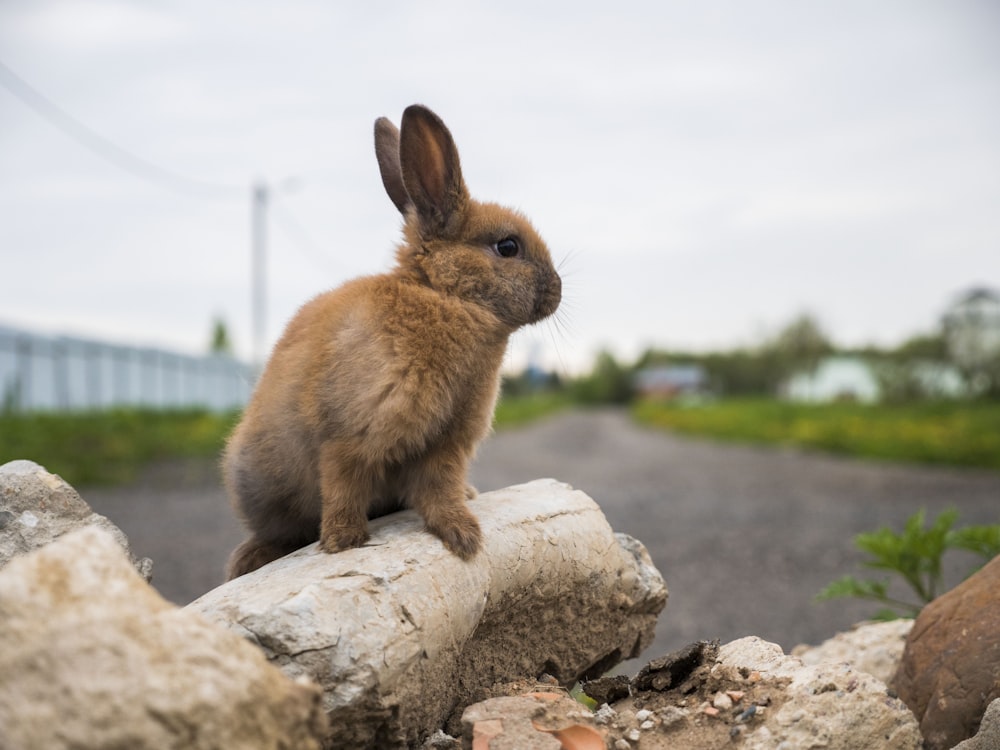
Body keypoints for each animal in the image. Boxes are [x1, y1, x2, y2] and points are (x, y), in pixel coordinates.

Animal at [222, 103, 560, 580]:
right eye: (507, 247)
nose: (558, 291)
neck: (443, 297)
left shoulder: (446, 444)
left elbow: (440, 490)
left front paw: (463, 534)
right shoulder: (350, 434)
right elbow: (343, 484)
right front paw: (343, 541)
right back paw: (253, 557)